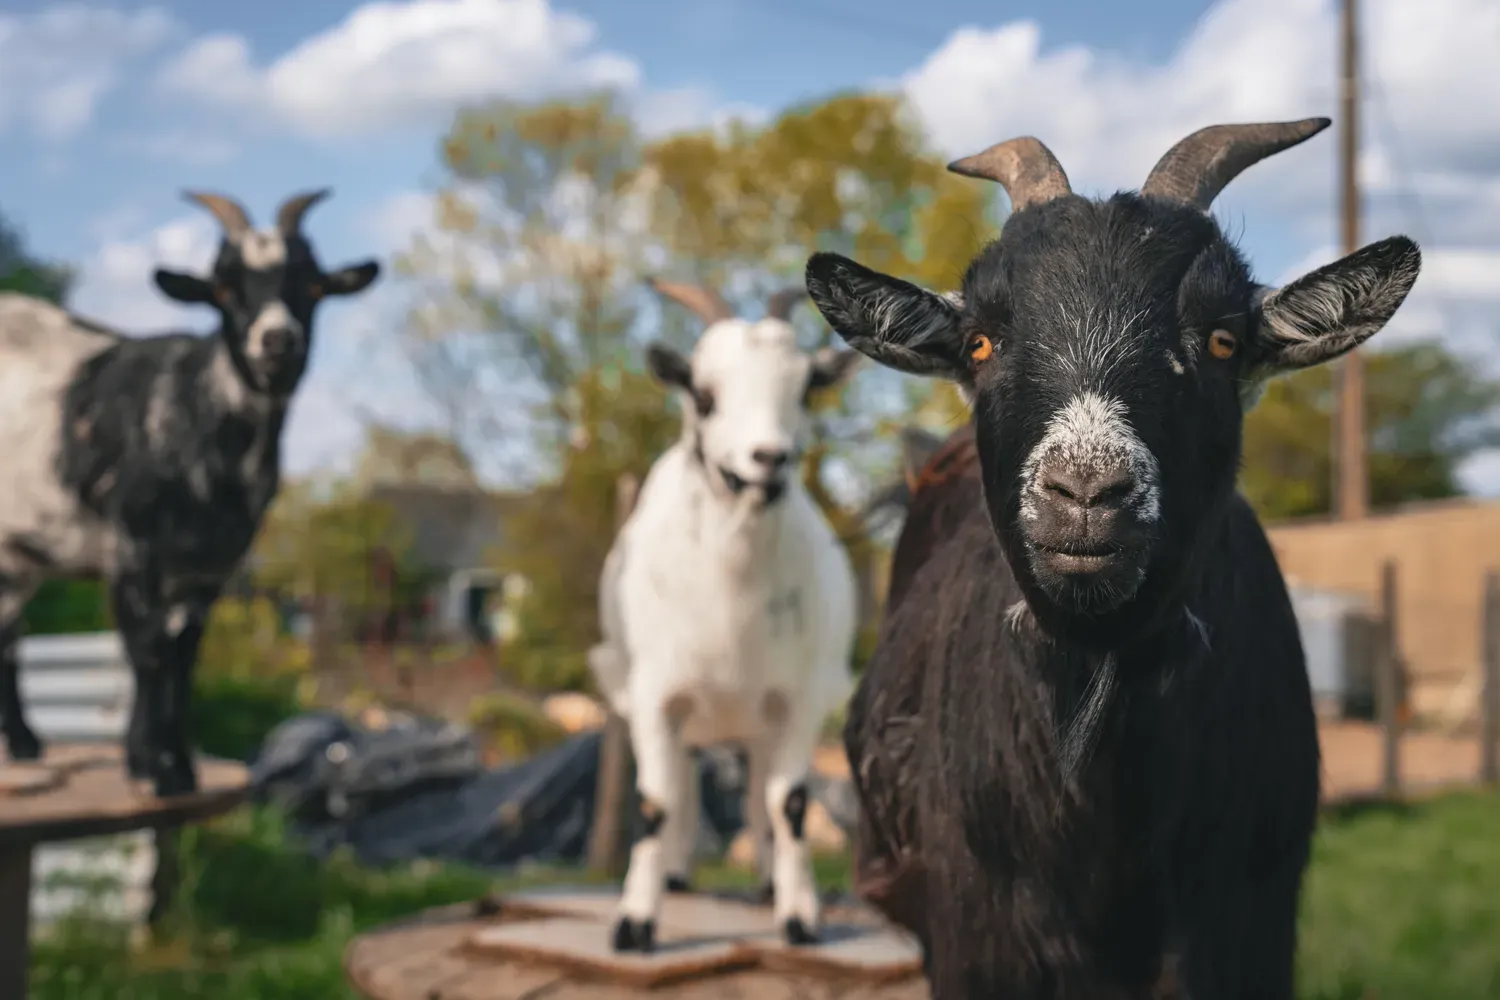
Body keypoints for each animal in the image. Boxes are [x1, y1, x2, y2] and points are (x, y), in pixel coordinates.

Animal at [0, 190, 380, 797]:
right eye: (223, 289)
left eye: (314, 286)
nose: (277, 341)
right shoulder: (132, 551)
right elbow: (148, 654)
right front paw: (155, 771)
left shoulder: (209, 568)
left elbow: (183, 659)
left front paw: (177, 766)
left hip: (21, 554)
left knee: (8, 630)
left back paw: (23, 743)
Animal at [589, 278, 862, 953]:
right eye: (704, 395)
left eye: (806, 389)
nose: (770, 458)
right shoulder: (655, 696)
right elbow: (655, 804)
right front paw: (635, 922)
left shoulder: (799, 699)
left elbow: (789, 804)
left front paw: (800, 917)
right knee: (686, 788)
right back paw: (677, 873)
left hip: (760, 718)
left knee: (759, 794)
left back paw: (765, 881)